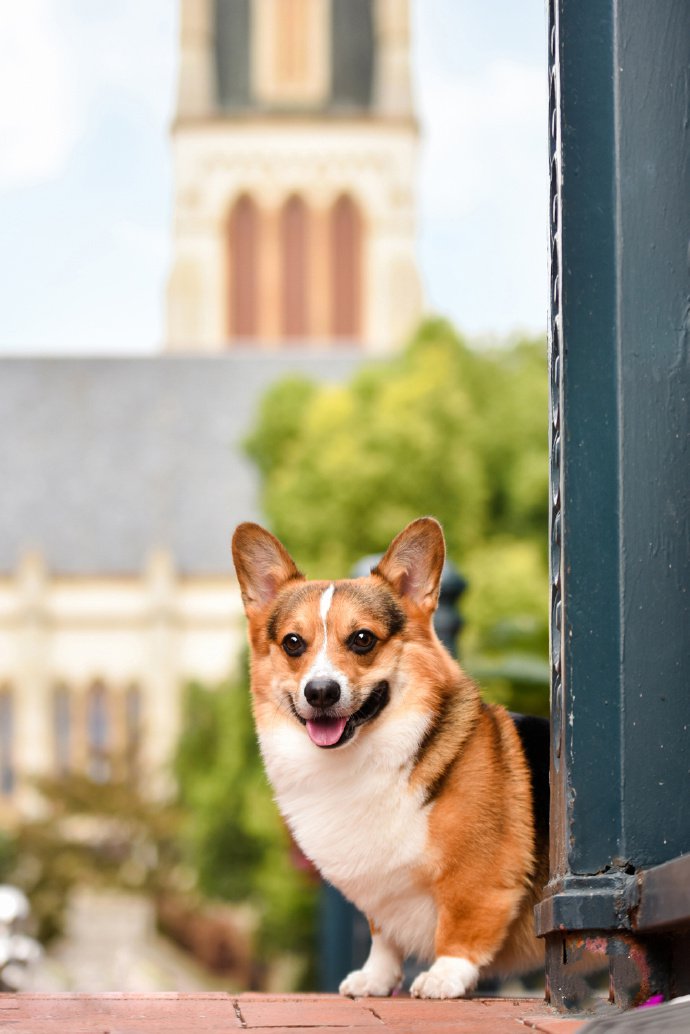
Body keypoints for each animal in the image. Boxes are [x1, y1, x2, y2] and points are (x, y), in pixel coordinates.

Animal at [231, 521, 550, 996]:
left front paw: (443, 977)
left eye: (363, 639)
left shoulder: (479, 878)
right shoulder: (379, 890)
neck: (359, 759)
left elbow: (462, 923)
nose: (320, 692)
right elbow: (382, 935)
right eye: (293, 643)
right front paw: (376, 978)